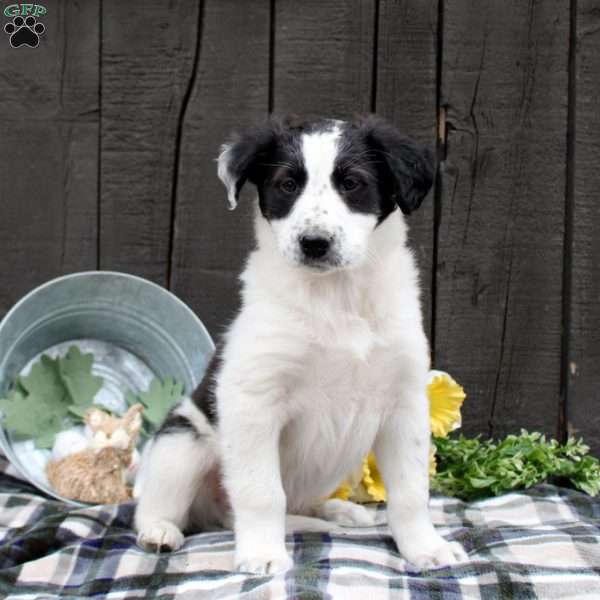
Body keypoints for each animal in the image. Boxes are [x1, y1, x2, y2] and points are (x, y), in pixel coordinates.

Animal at [135, 115, 468, 576]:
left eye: (352, 183)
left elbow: (410, 490)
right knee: (165, 506)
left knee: (293, 505)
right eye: (287, 184)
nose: (314, 243)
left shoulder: (404, 402)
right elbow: (261, 492)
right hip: (180, 444)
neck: (336, 296)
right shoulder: (255, 400)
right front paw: (261, 554)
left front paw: (425, 547)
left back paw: (337, 512)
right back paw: (160, 531)